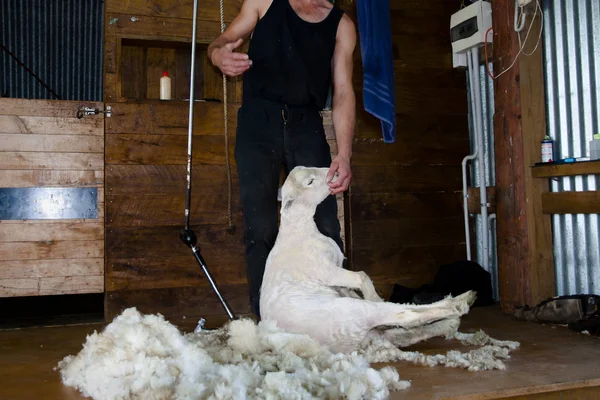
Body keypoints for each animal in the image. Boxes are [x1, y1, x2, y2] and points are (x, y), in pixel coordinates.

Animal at [260, 166, 476, 354]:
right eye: (310, 181)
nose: (335, 172)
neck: (298, 229)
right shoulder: (326, 271)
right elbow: (362, 276)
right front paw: (374, 296)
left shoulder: (336, 276)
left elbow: (353, 285)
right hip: (353, 312)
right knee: (405, 315)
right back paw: (459, 303)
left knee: (400, 335)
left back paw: (449, 322)